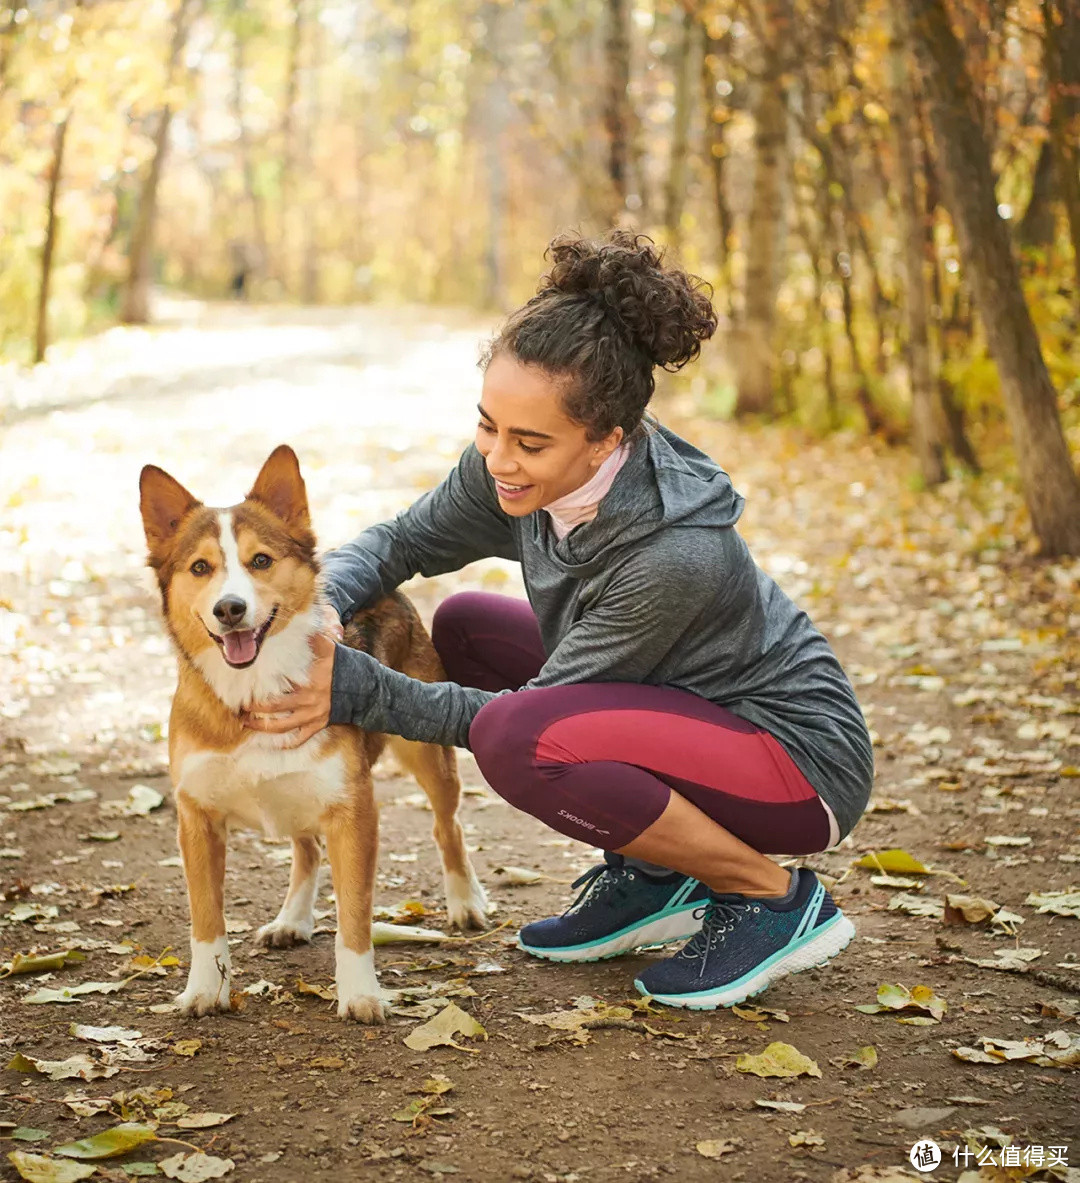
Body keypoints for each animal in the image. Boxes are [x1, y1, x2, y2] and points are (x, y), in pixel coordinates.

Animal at [138, 447, 489, 1022]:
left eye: (261, 561)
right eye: (200, 568)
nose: (229, 609)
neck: (254, 691)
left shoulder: (354, 811)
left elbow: (355, 918)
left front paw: (361, 993)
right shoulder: (197, 819)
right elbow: (206, 920)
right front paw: (204, 990)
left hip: (427, 758)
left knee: (447, 826)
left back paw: (465, 901)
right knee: (306, 850)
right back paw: (292, 920)